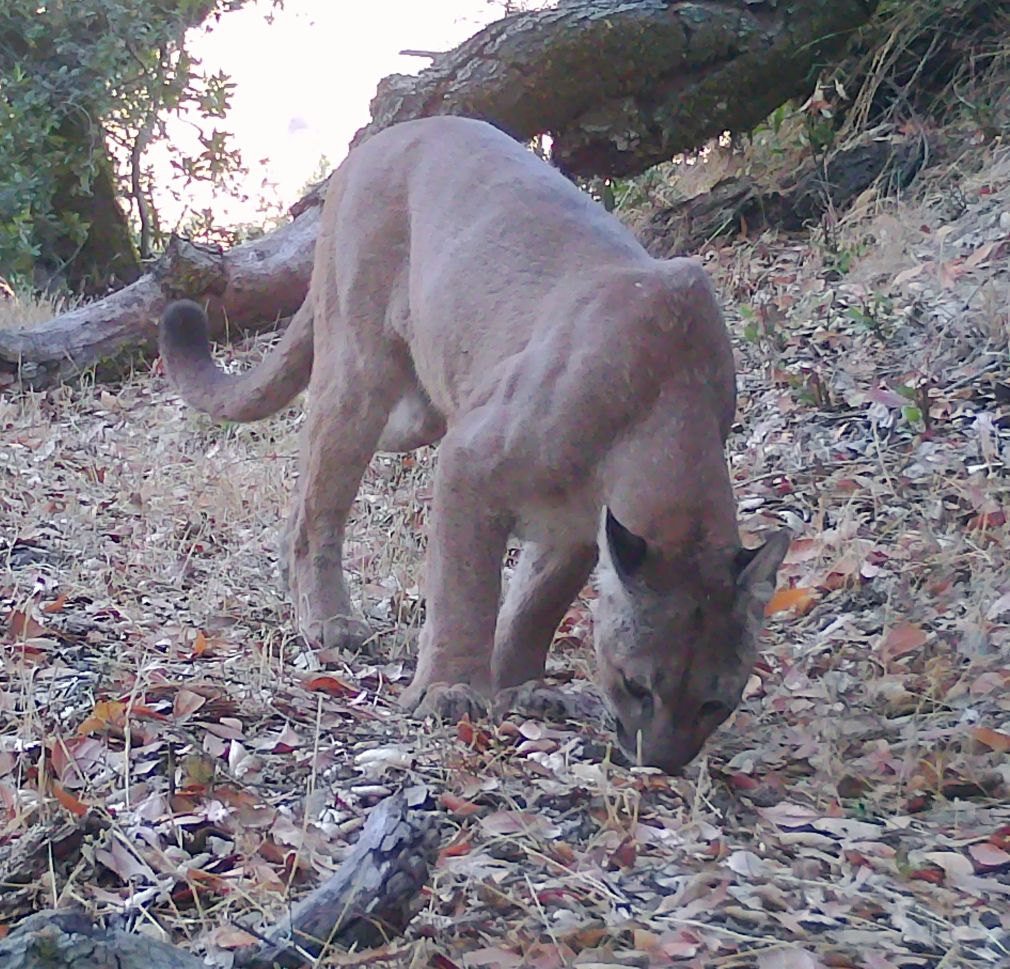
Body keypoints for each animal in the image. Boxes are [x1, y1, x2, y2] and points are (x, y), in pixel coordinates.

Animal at [160, 116, 790, 773]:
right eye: (637, 685)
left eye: (715, 704)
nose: (661, 763)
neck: (668, 408)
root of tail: (382, 139)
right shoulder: (472, 461)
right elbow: (466, 588)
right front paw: (452, 690)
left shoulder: (575, 528)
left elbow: (537, 604)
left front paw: (521, 686)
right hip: (359, 371)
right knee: (321, 493)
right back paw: (330, 621)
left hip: (416, 409)